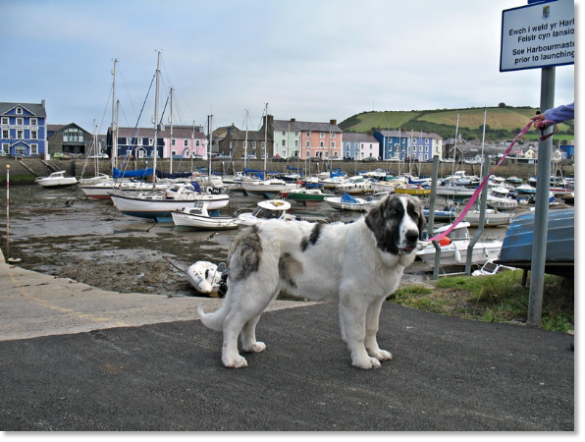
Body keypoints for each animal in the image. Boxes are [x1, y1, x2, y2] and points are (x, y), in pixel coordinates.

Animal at [197, 193, 424, 370]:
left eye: (414, 214)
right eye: (394, 214)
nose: (414, 235)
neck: (376, 245)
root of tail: (249, 231)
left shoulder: (375, 300)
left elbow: (371, 328)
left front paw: (375, 352)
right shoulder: (354, 298)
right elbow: (358, 332)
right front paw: (363, 360)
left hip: (263, 290)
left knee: (249, 321)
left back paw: (251, 345)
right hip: (256, 289)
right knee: (232, 321)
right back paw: (231, 359)